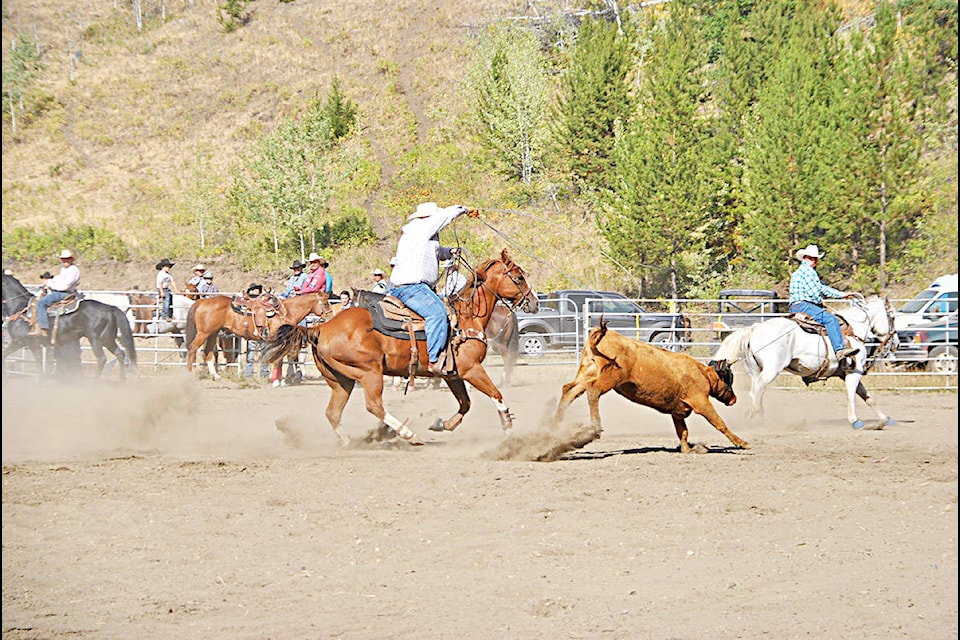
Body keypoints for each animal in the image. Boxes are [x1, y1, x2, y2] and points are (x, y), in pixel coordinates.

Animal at [0, 272, 137, 378]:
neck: (19, 307)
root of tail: (110, 308)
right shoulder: (24, 342)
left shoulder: (24, 342)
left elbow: (37, 362)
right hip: (108, 338)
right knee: (120, 354)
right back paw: (122, 380)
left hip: (96, 339)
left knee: (102, 359)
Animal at [260, 249, 540, 444]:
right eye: (518, 277)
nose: (534, 302)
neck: (466, 317)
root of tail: (320, 328)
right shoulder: (471, 369)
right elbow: (496, 395)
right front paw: (507, 426)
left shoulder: (452, 374)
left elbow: (465, 403)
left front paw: (442, 424)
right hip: (369, 373)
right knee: (373, 405)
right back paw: (407, 434)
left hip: (341, 381)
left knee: (333, 413)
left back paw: (350, 442)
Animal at [712, 296, 900, 430]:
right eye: (892, 317)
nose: (896, 343)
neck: (853, 331)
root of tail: (754, 328)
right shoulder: (854, 372)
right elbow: (851, 396)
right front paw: (855, 421)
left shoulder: (848, 373)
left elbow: (868, 398)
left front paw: (885, 419)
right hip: (771, 369)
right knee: (757, 390)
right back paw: (754, 416)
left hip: (755, 370)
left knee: (756, 392)